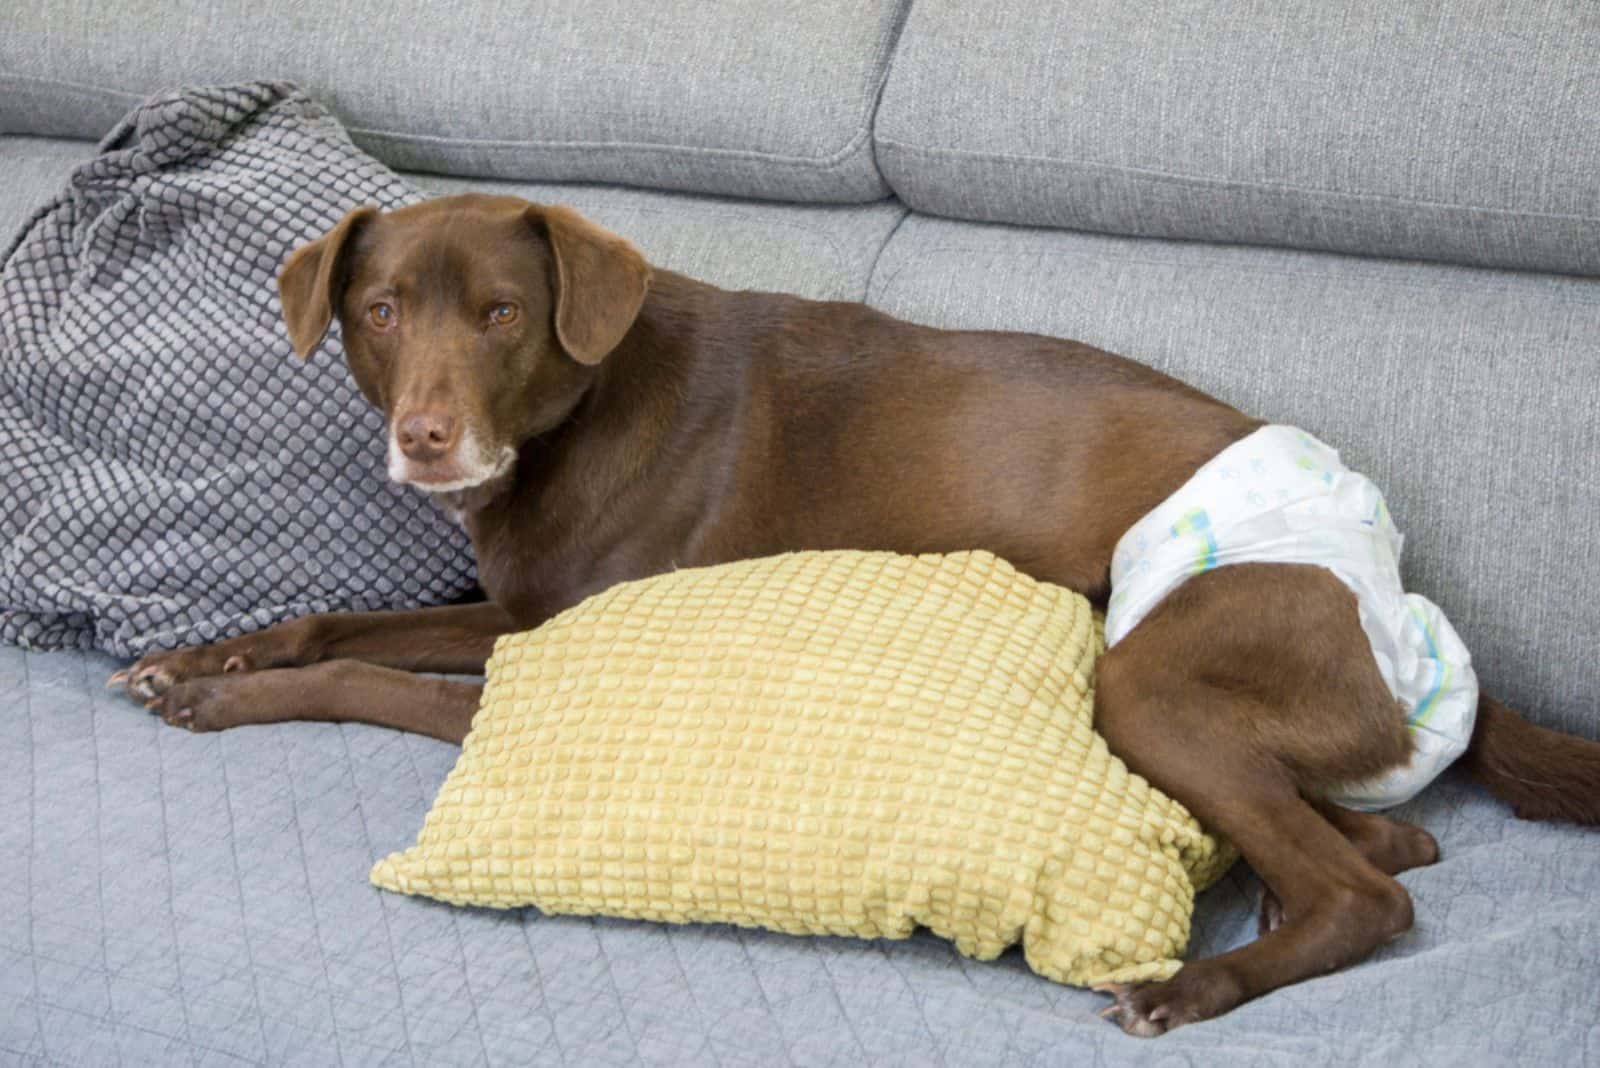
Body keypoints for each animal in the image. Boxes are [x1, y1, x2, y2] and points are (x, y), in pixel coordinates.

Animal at [109, 191, 1600, 1036]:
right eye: (376, 310)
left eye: (501, 315)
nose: (426, 443)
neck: (578, 417)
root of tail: (1403, 596)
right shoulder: (507, 610)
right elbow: (336, 624)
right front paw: (192, 653)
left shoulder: (544, 645)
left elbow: (368, 676)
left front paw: (219, 695)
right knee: (1383, 839)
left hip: (1157, 672)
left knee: (1367, 896)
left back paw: (1192, 986)